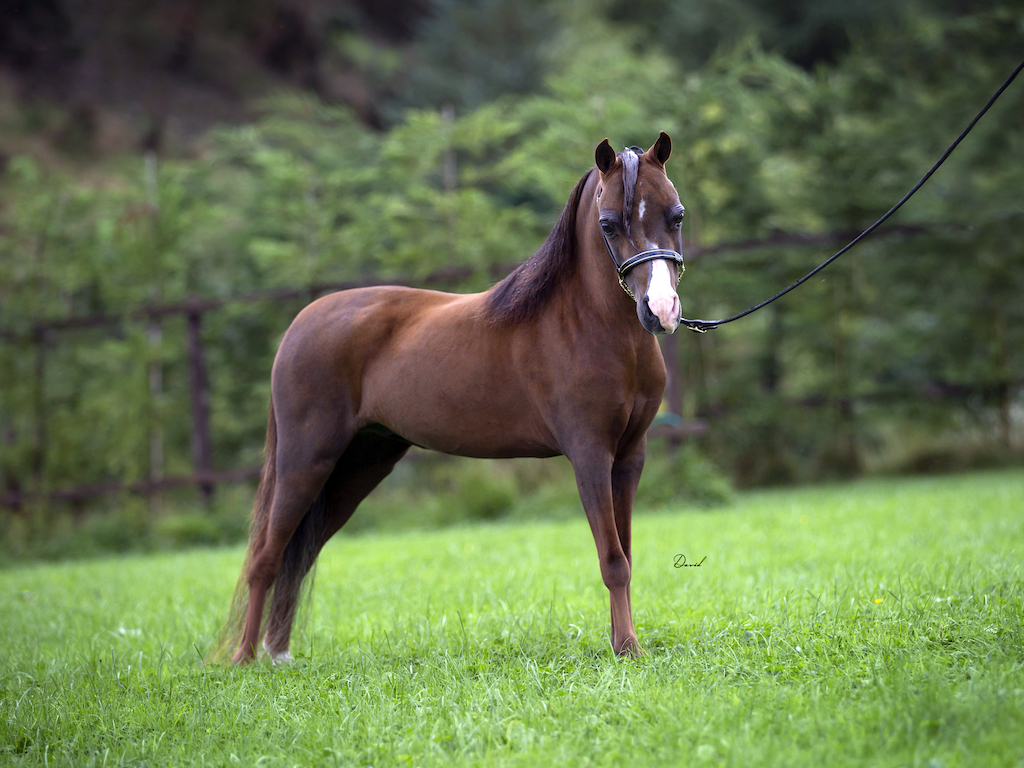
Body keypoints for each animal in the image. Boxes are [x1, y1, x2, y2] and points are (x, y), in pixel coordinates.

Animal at [223, 132, 687, 663]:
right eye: (608, 223)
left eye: (676, 215)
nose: (661, 309)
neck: (589, 325)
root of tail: (301, 323)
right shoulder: (590, 456)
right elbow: (613, 560)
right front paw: (628, 648)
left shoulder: (629, 457)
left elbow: (625, 554)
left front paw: (621, 642)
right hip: (304, 463)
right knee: (266, 557)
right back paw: (244, 660)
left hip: (359, 466)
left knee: (299, 557)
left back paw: (278, 655)